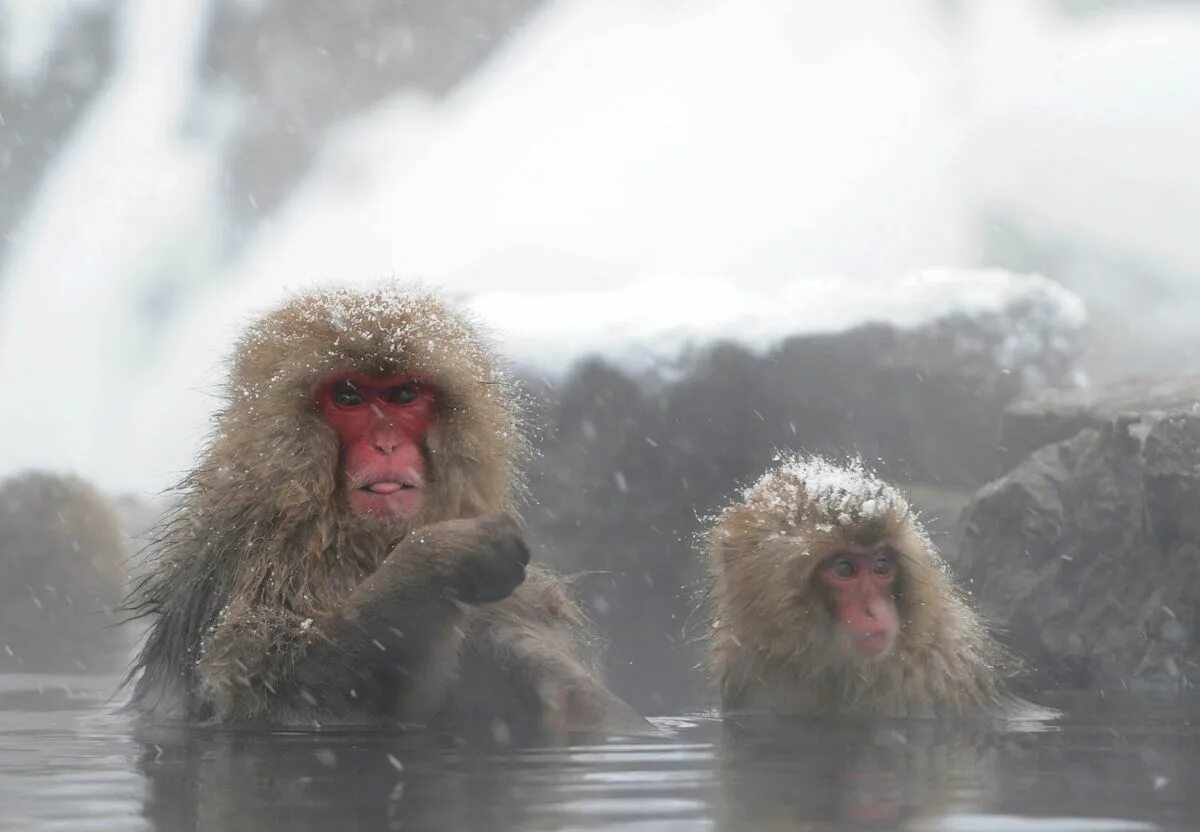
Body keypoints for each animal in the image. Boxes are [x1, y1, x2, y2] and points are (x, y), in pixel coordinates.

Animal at [125, 286, 643, 739]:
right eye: (349, 397)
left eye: (404, 396)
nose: (386, 444)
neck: (353, 537)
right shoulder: (262, 562)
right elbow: (271, 691)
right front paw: (438, 560)